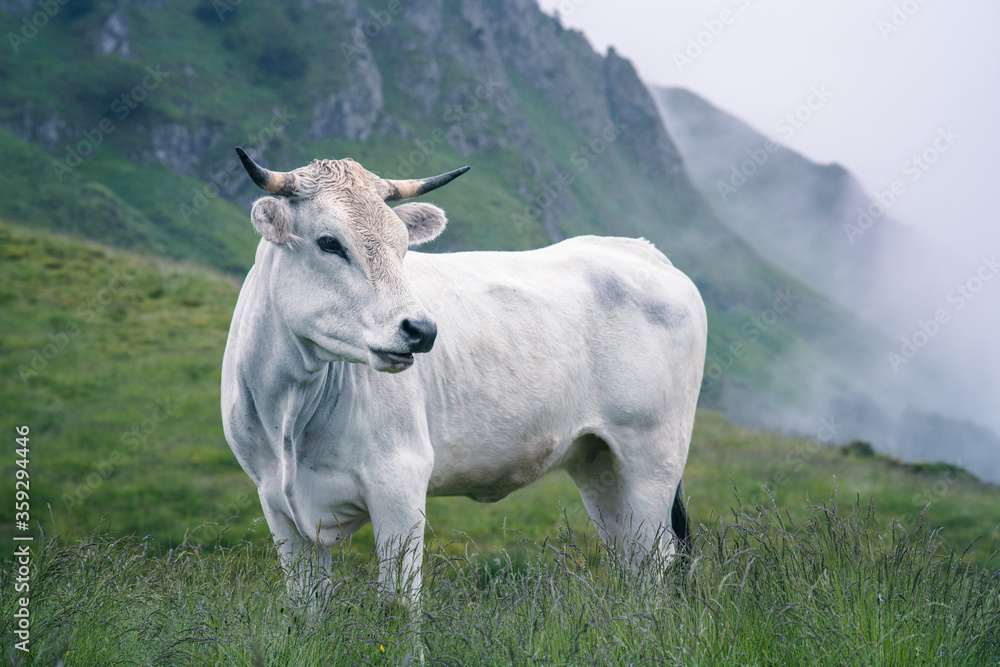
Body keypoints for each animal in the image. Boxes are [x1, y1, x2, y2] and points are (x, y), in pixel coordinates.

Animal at [221, 147, 707, 608]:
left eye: (403, 247)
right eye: (328, 242)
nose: (421, 330)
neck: (289, 415)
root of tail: (641, 249)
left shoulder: (399, 481)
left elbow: (398, 603)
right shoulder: (278, 505)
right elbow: (305, 607)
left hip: (654, 455)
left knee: (655, 554)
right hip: (598, 460)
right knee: (628, 554)